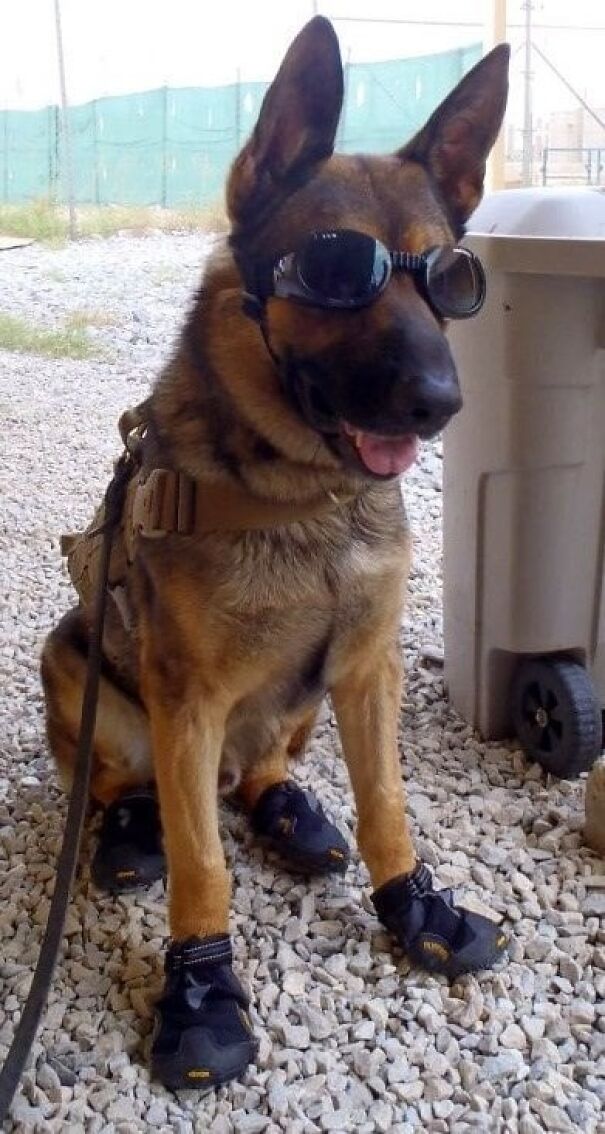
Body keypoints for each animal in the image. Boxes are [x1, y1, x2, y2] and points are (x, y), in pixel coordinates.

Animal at [39, 17, 512, 1088]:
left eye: (453, 277)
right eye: (338, 271)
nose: (443, 404)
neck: (309, 501)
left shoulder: (368, 670)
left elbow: (388, 808)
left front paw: (413, 906)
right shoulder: (187, 702)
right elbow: (202, 867)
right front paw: (202, 997)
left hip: (300, 708)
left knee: (260, 772)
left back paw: (291, 811)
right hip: (77, 670)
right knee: (131, 786)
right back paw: (130, 833)